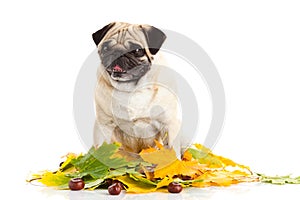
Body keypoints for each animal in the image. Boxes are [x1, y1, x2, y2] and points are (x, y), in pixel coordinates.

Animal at [92, 21, 182, 156]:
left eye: (137, 51)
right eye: (105, 48)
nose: (117, 52)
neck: (131, 89)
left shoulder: (169, 125)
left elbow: (173, 153)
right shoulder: (104, 125)